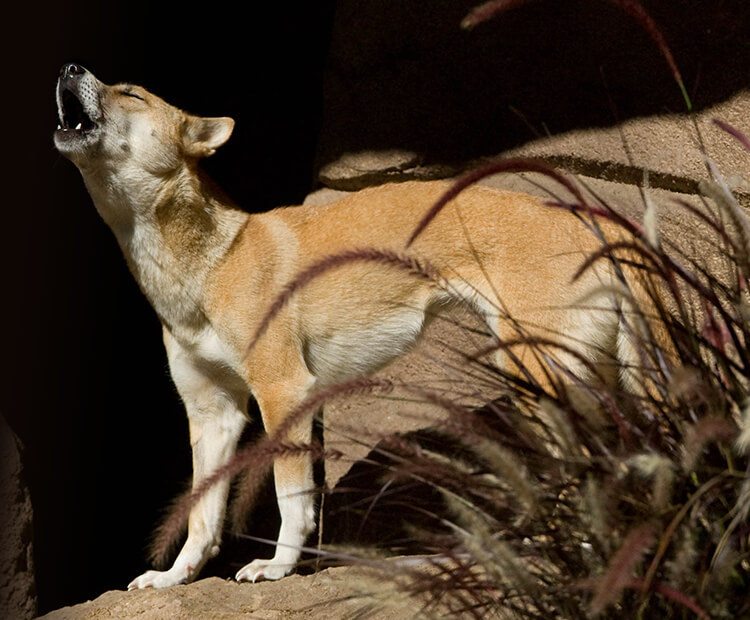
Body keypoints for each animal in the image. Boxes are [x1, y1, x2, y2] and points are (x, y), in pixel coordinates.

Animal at [55, 64, 648, 592]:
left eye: (131, 92)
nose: (68, 68)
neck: (208, 267)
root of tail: (589, 219)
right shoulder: (212, 412)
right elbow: (202, 513)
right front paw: (175, 576)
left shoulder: (283, 391)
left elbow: (290, 498)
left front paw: (278, 567)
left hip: (536, 377)